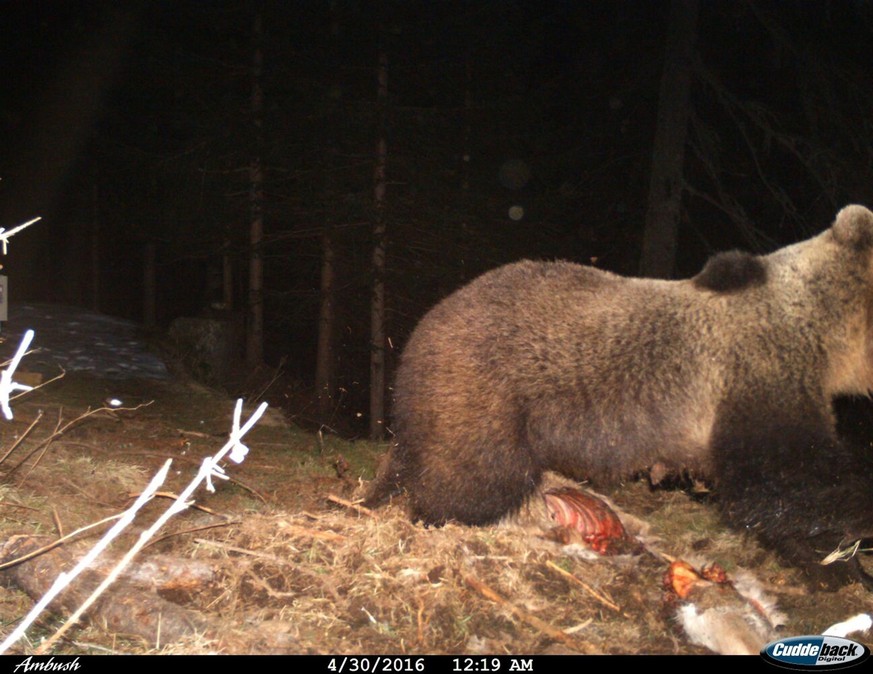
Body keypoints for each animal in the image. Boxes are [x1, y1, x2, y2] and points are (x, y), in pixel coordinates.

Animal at [364, 202, 872, 584]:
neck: (822, 326)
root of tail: (417, 336)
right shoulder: (758, 375)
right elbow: (783, 478)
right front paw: (843, 550)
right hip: (485, 396)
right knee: (474, 481)